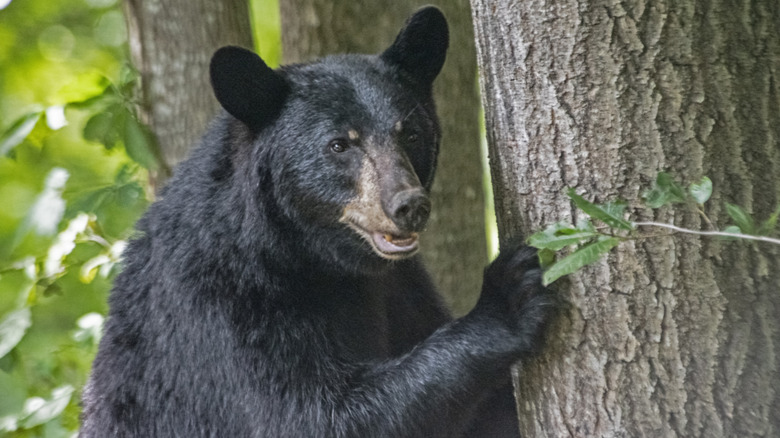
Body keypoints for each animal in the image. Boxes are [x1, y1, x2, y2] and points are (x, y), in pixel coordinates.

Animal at [79, 6, 556, 438]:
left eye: (411, 133)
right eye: (339, 144)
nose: (409, 205)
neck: (313, 257)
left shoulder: (399, 287)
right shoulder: (222, 305)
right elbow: (310, 415)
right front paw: (506, 298)